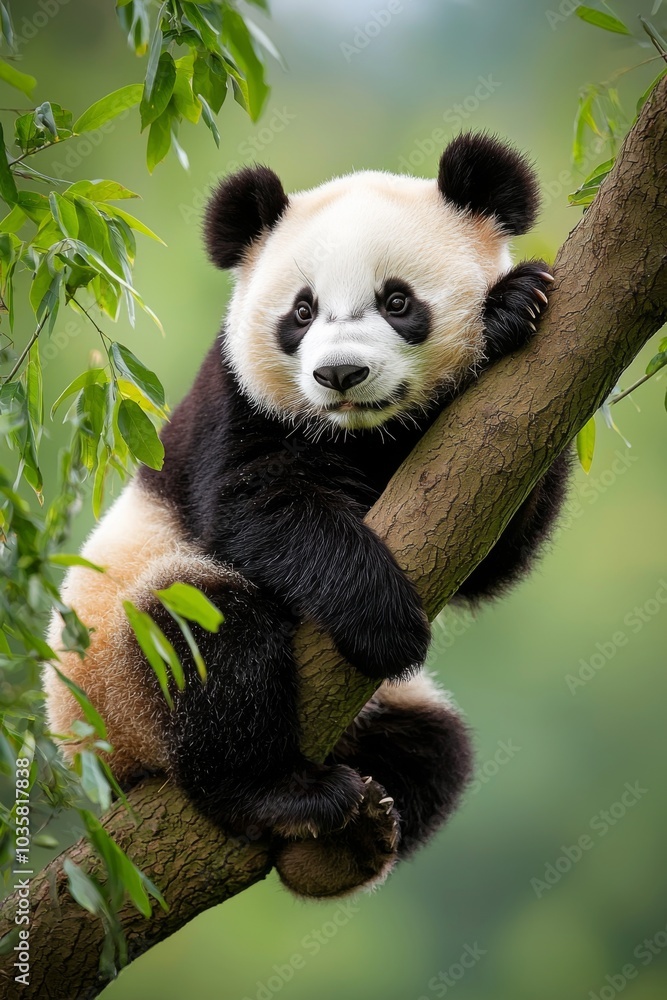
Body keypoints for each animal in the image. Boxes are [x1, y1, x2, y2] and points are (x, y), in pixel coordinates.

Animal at [44, 132, 570, 899]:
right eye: (301, 312)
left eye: (397, 300)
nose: (340, 374)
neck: (360, 432)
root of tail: (98, 768)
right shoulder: (235, 406)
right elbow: (256, 507)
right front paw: (384, 620)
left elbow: (491, 531)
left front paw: (511, 309)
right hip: (114, 676)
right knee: (205, 633)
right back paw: (280, 795)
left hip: (381, 715)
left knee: (437, 747)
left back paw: (345, 842)